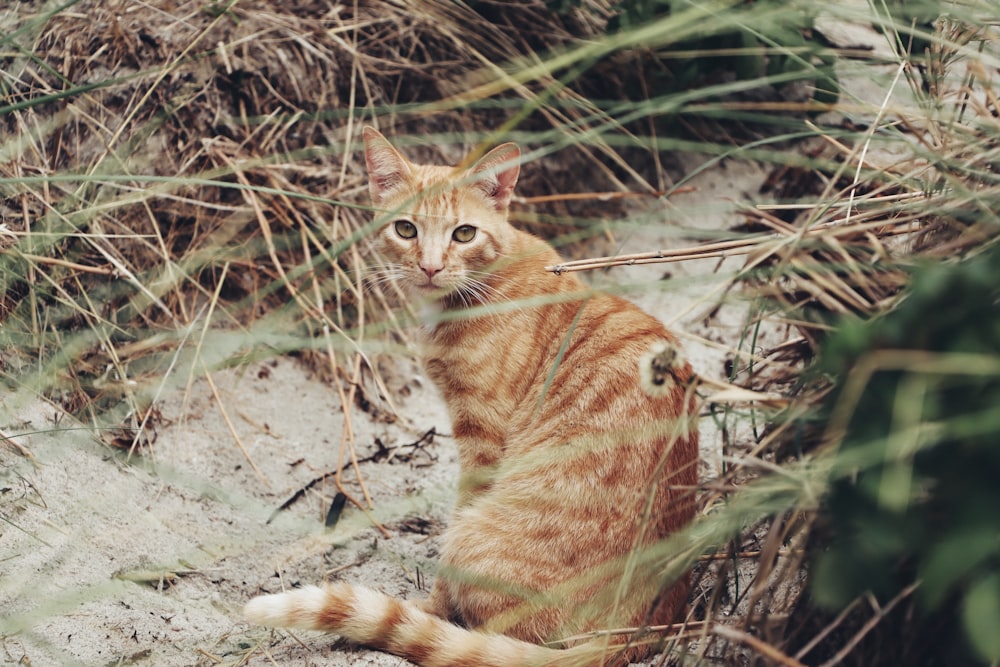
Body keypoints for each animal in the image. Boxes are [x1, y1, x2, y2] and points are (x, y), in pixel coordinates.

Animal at [243, 128, 700, 664]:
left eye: (464, 234)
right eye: (405, 229)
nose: (430, 266)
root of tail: (638, 635)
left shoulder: (481, 439)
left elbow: (449, 563)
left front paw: (432, 610)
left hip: (476, 540)